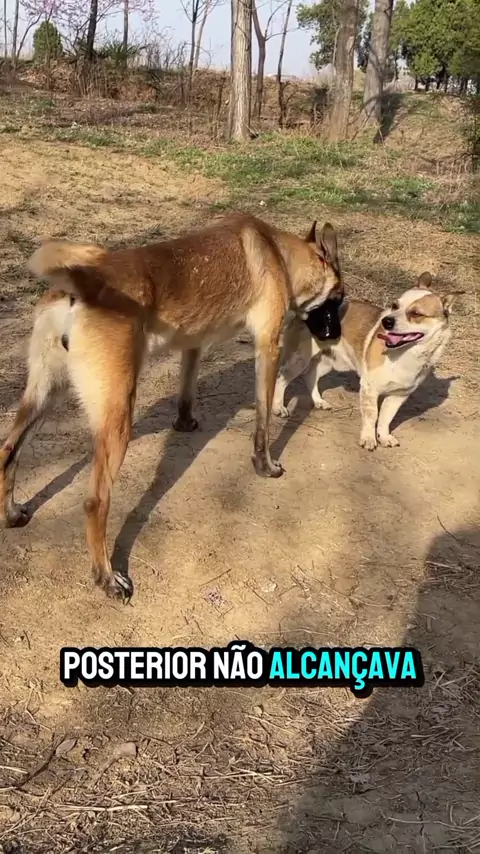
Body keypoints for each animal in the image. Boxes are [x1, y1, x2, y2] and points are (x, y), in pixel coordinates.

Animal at [0, 213, 342, 600]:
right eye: (338, 299)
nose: (336, 334)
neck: (277, 251)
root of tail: (83, 286)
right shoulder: (268, 349)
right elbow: (264, 422)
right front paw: (265, 464)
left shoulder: (194, 342)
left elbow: (187, 388)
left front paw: (185, 421)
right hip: (117, 422)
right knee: (95, 502)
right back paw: (106, 576)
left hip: (45, 394)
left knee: (9, 451)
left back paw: (11, 514)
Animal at [273, 272, 459, 450]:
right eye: (394, 305)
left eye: (416, 314)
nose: (387, 321)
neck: (406, 354)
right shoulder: (370, 388)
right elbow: (372, 416)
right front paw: (368, 439)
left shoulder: (398, 396)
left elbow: (386, 418)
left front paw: (384, 437)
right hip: (300, 358)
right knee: (282, 379)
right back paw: (278, 407)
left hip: (329, 361)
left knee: (310, 376)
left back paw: (318, 401)